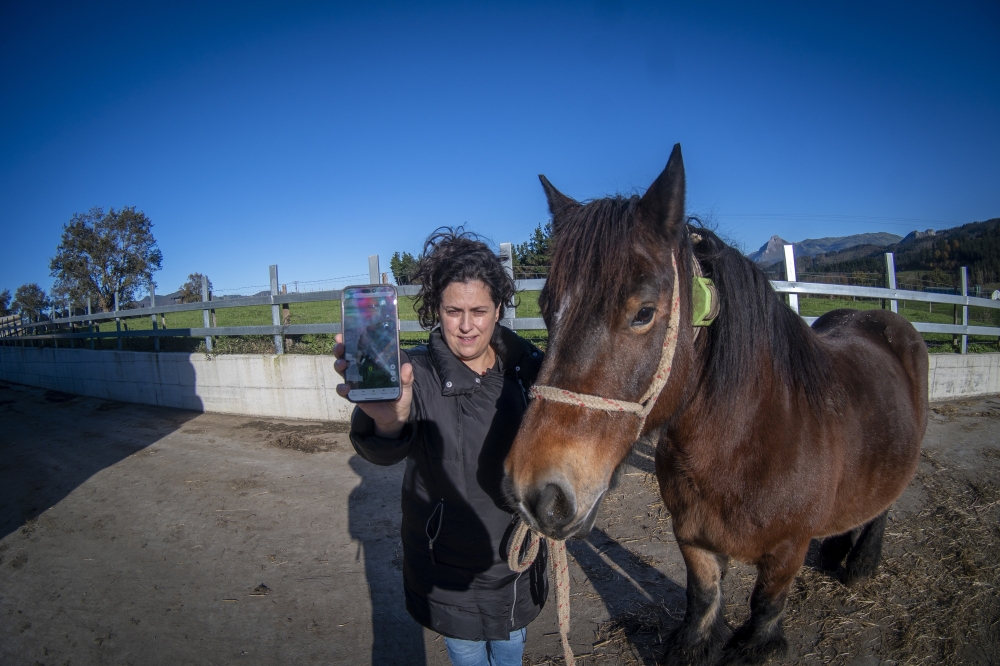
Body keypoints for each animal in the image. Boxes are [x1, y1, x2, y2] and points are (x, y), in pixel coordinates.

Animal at [504, 143, 924, 660]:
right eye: (545, 309)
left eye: (644, 312)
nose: (535, 491)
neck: (747, 446)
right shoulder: (692, 538)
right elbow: (704, 598)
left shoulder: (787, 551)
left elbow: (765, 609)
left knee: (882, 505)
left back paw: (861, 562)